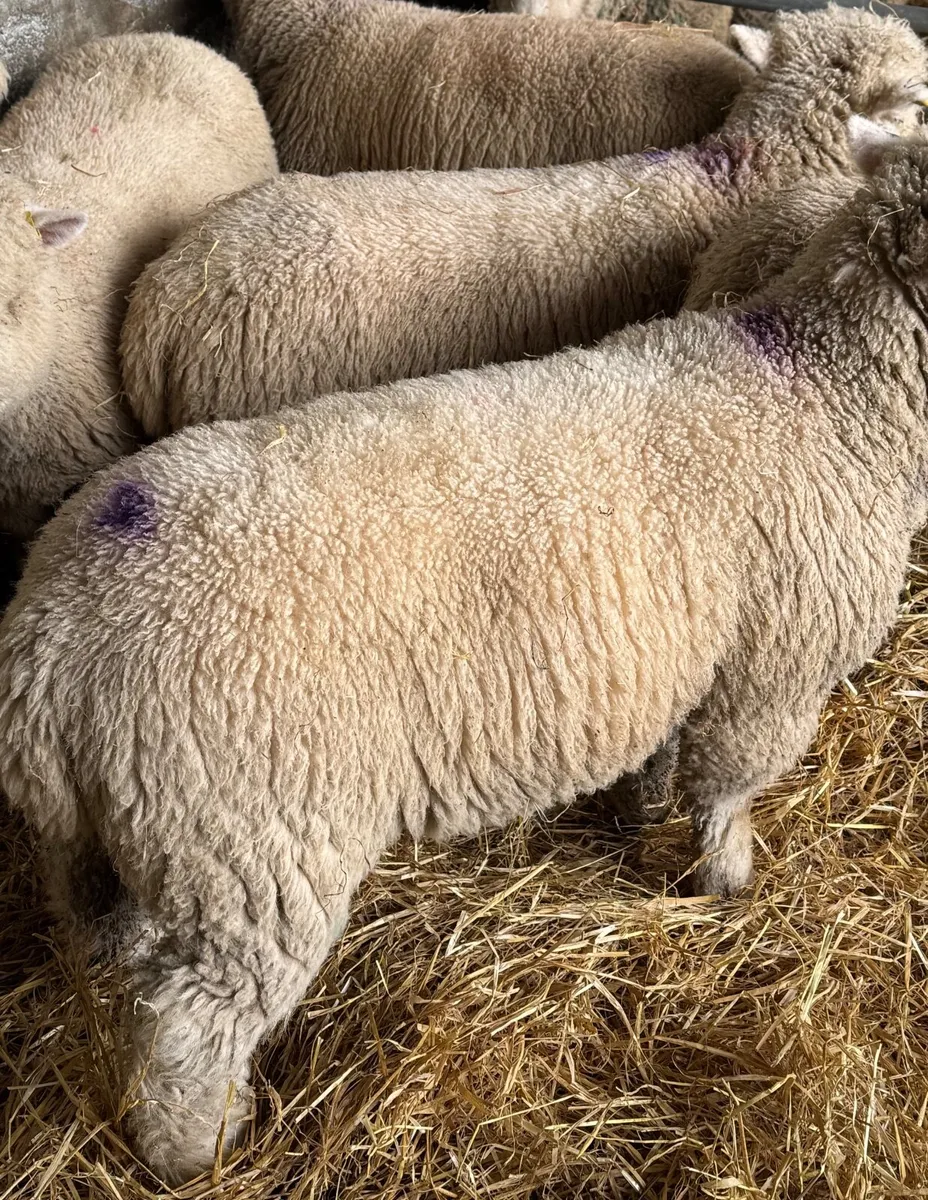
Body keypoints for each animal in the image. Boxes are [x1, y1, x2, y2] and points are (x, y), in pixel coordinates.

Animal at [2, 116, 927, 1183]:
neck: (823, 386)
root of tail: (49, 652)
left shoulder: (680, 658)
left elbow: (665, 760)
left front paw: (642, 819)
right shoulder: (773, 668)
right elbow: (729, 788)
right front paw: (726, 884)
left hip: (123, 842)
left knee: (115, 952)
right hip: (254, 848)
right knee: (190, 1026)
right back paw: (202, 1149)